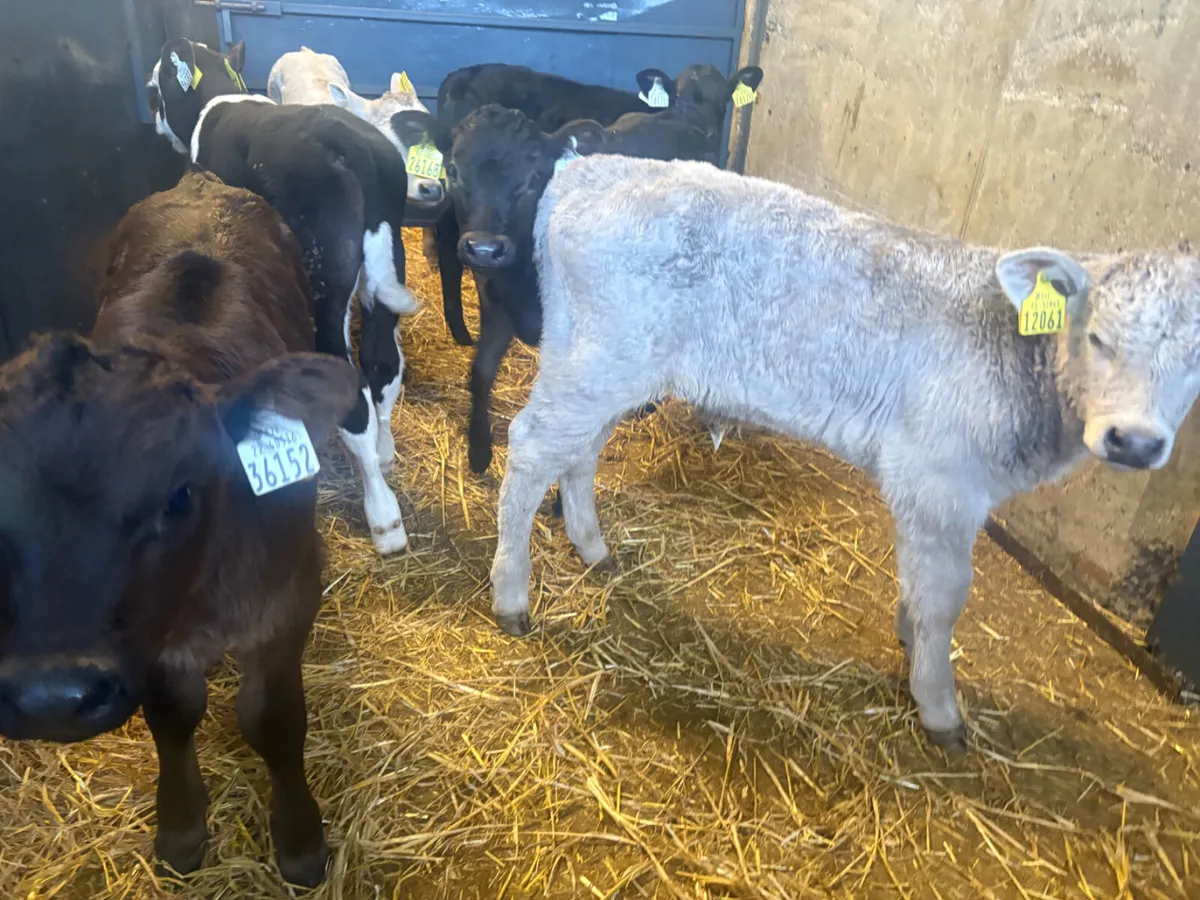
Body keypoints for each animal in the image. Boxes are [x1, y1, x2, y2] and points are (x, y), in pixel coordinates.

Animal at [0, 170, 359, 886]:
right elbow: (172, 714)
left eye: (180, 494)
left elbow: (273, 719)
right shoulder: (149, 642)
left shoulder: (289, 596)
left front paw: (300, 842)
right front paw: (183, 829)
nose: (54, 695)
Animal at [148, 37, 415, 555]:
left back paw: (384, 518)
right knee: (383, 366)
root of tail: (353, 146)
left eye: (155, 86)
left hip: (324, 285)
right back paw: (386, 454)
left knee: (353, 393)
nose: (154, 124)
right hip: (386, 261)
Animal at [488, 153, 1200, 757]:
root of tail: (590, 167)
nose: (1135, 440)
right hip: (600, 361)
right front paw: (938, 704)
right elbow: (945, 592)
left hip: (605, 365)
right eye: (1097, 336)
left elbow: (919, 584)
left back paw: (591, 545)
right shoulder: (938, 479)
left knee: (581, 450)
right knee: (530, 446)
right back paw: (512, 594)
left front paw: (910, 639)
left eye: (1196, 358)